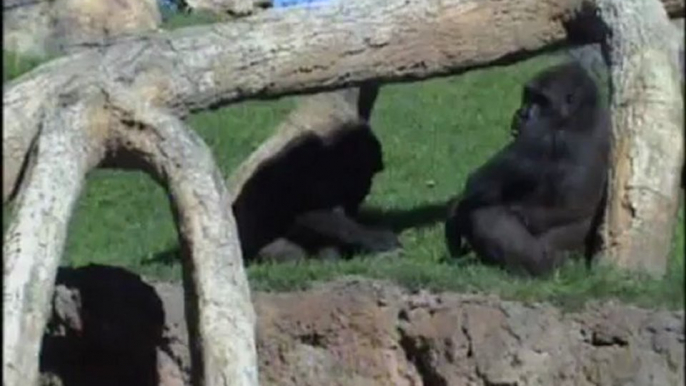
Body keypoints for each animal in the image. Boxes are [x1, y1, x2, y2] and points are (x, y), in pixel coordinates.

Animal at [446, 61, 612, 276]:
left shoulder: (537, 137)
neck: (581, 114)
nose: (523, 113)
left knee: (484, 215)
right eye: (529, 95)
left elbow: (475, 185)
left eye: (542, 100)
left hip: (551, 264)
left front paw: (453, 213)